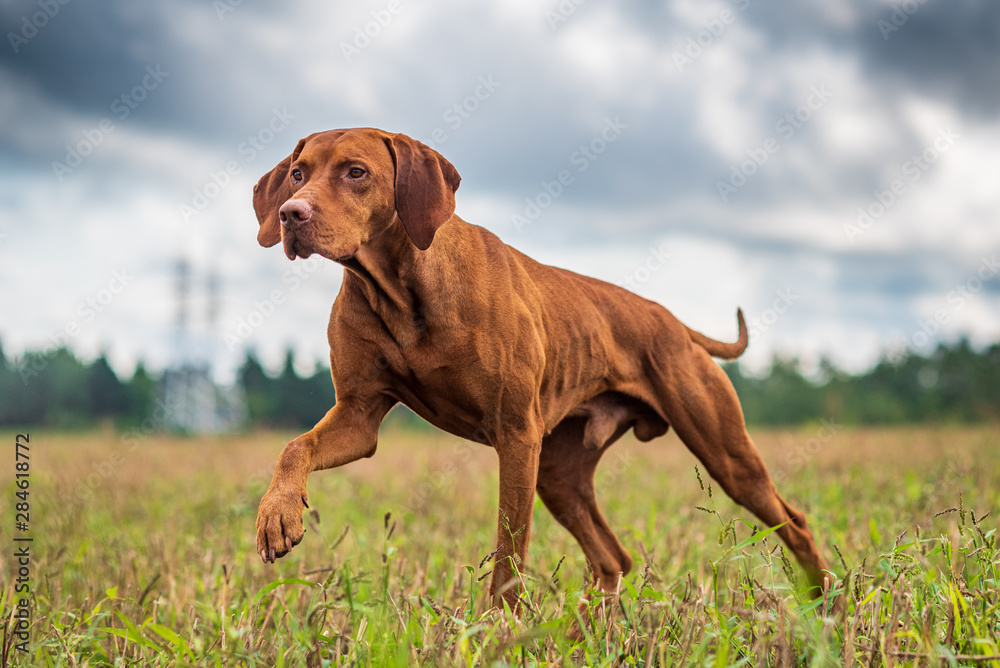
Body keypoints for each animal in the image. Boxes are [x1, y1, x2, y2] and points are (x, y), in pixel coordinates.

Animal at [252, 128, 836, 608]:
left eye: (356, 171)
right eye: (299, 174)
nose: (291, 214)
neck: (400, 285)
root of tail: (673, 322)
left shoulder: (516, 435)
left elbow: (510, 549)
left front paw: (495, 629)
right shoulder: (359, 417)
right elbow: (294, 446)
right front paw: (277, 514)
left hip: (725, 453)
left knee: (795, 522)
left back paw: (821, 602)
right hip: (561, 475)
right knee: (612, 556)